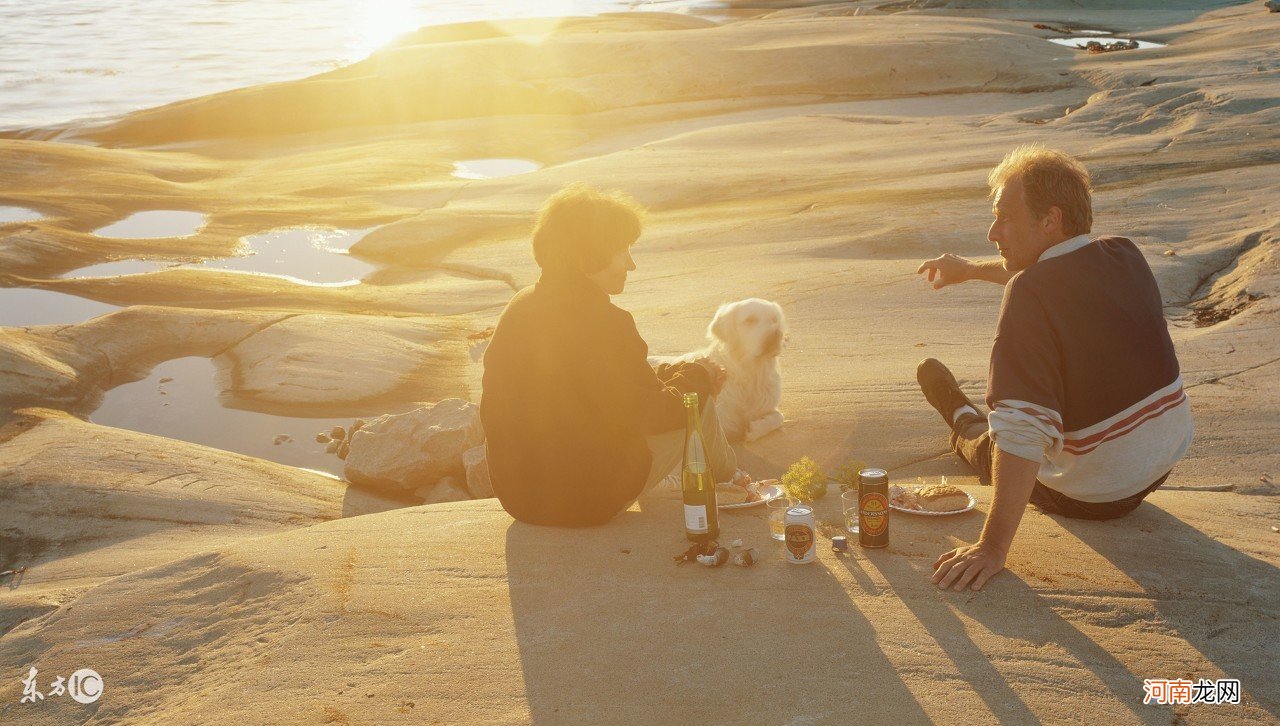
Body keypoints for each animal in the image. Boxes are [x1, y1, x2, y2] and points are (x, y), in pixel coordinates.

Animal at [655, 297, 783, 443]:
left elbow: (779, 417)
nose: (776, 335)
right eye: (750, 320)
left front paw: (755, 428)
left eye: (774, 319)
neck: (748, 373)